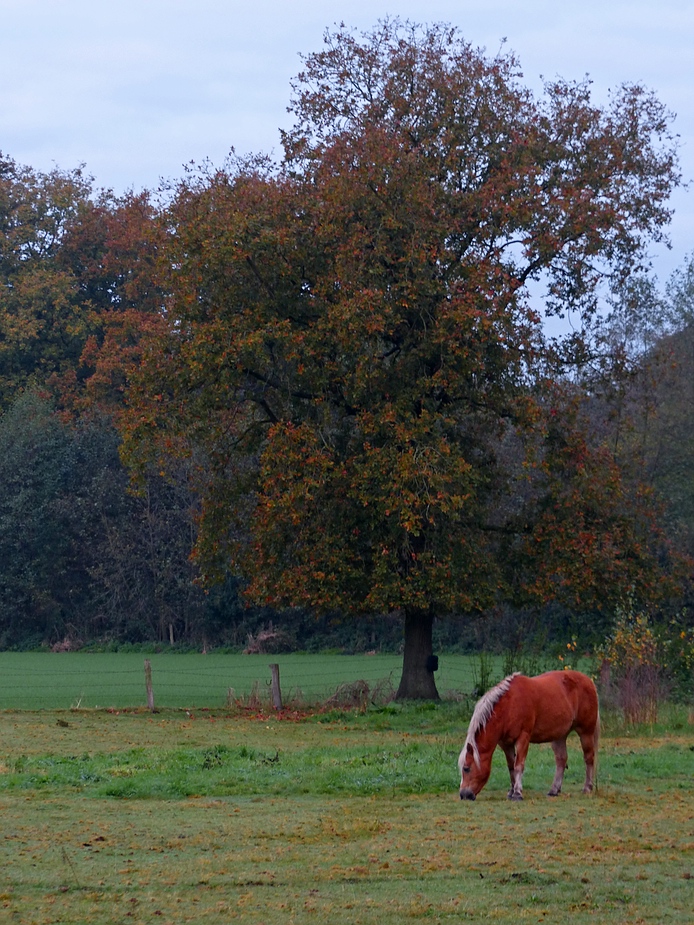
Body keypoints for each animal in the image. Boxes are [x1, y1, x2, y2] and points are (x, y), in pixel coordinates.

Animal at [460, 668, 600, 796]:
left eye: (466, 768)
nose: (463, 795)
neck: (509, 705)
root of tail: (589, 681)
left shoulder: (523, 738)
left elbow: (519, 765)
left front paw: (517, 793)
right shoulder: (506, 744)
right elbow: (511, 766)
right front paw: (511, 791)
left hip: (586, 732)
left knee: (589, 757)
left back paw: (587, 787)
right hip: (559, 736)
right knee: (561, 759)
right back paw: (554, 790)